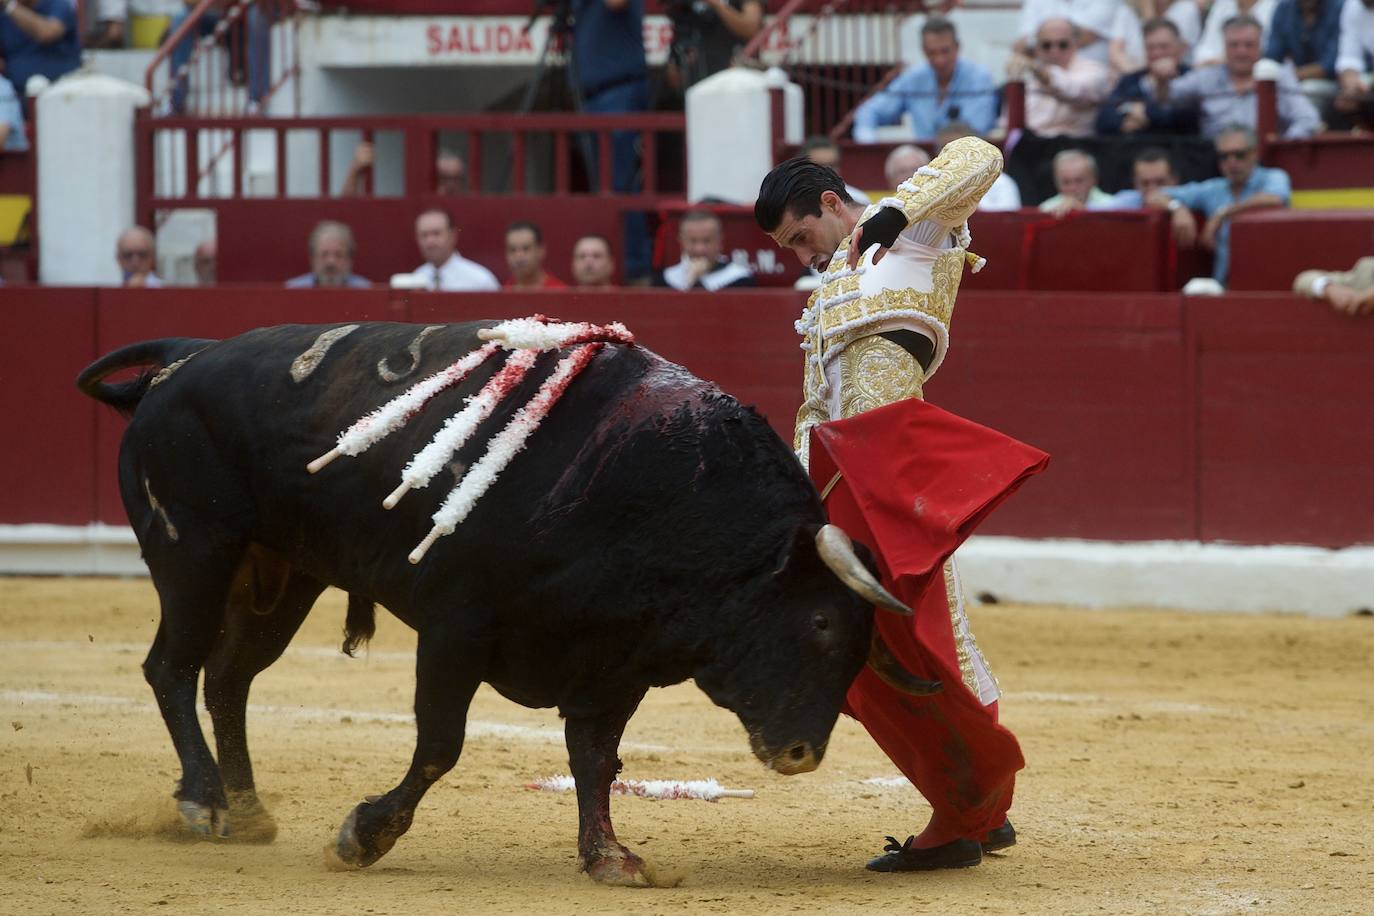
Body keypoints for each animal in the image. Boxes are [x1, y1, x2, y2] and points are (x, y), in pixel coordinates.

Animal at [75, 322, 934, 889]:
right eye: (820, 622)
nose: (802, 754)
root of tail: (180, 363)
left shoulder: (614, 662)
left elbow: (595, 759)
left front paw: (609, 858)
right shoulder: (455, 632)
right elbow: (439, 745)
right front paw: (364, 836)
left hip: (282, 573)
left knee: (228, 677)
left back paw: (248, 810)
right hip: (195, 552)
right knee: (172, 667)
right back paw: (204, 804)